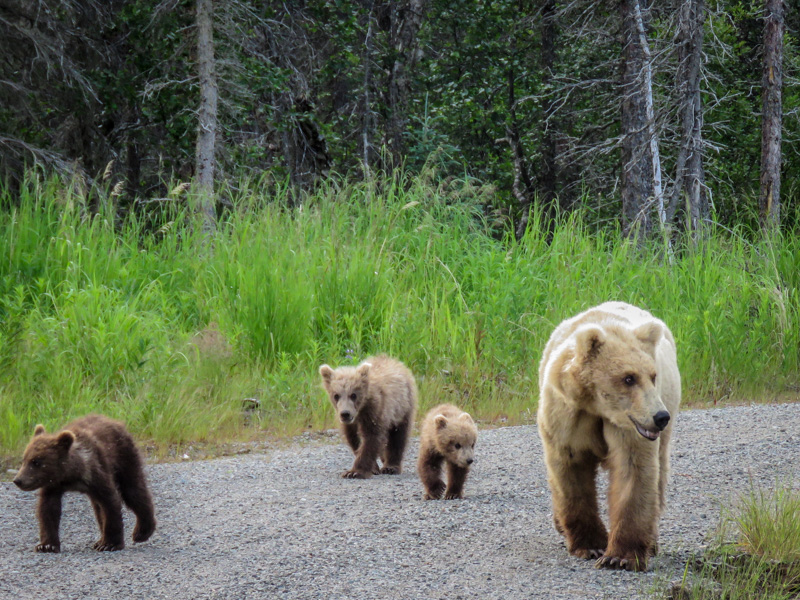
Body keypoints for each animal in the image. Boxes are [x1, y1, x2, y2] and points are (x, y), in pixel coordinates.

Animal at [536, 302, 680, 568]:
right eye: (628, 378)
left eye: (652, 375)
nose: (660, 416)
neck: (596, 406)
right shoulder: (567, 415)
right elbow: (571, 472)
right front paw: (591, 546)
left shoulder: (628, 426)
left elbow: (632, 470)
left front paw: (620, 557)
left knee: (659, 472)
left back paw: (652, 541)